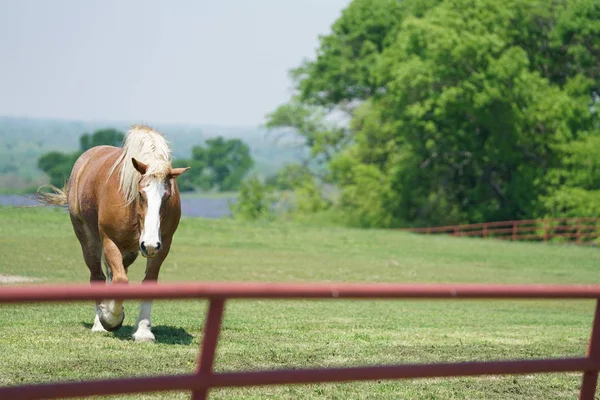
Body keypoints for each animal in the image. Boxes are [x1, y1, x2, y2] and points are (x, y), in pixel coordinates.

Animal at [35, 124, 190, 340]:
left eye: (167, 196)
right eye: (141, 193)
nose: (149, 244)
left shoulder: (163, 245)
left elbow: (146, 282)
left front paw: (143, 330)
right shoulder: (110, 240)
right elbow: (120, 280)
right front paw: (110, 319)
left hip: (130, 251)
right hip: (88, 241)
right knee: (98, 276)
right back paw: (99, 322)